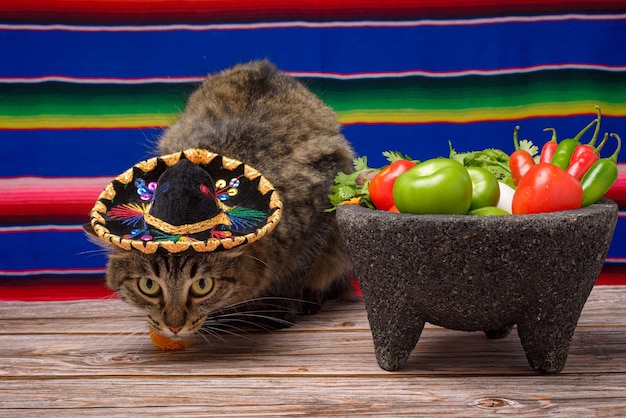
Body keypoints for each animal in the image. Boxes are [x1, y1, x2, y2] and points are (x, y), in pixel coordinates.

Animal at [86, 59, 356, 340]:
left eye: (202, 285)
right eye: (149, 285)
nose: (174, 326)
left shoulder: (320, 210)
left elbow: (294, 275)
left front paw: (281, 310)